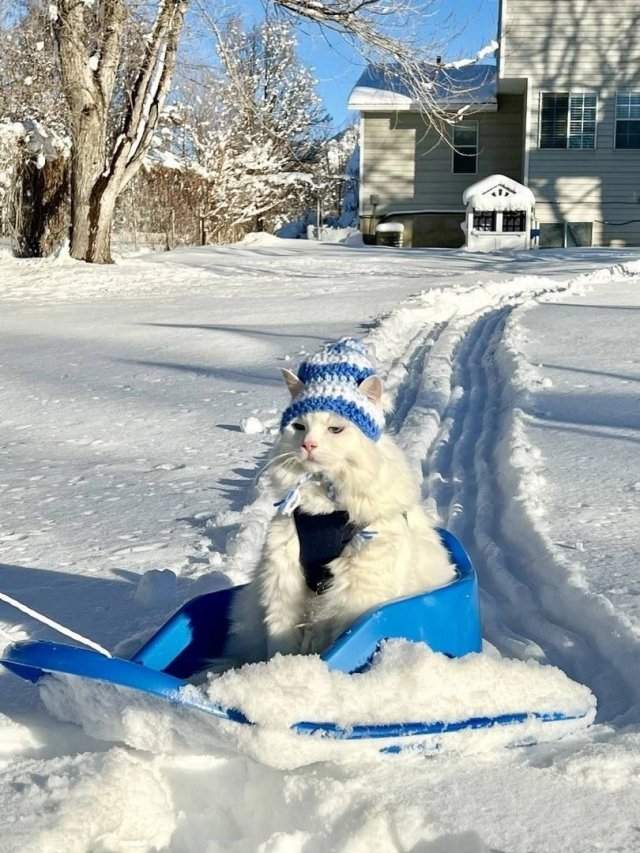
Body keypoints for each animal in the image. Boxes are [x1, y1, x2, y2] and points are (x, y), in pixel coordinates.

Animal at [229, 340, 456, 660]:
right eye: (299, 427)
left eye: (335, 429)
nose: (308, 445)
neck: (322, 508)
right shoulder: (282, 581)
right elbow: (280, 645)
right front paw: (277, 666)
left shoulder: (357, 590)